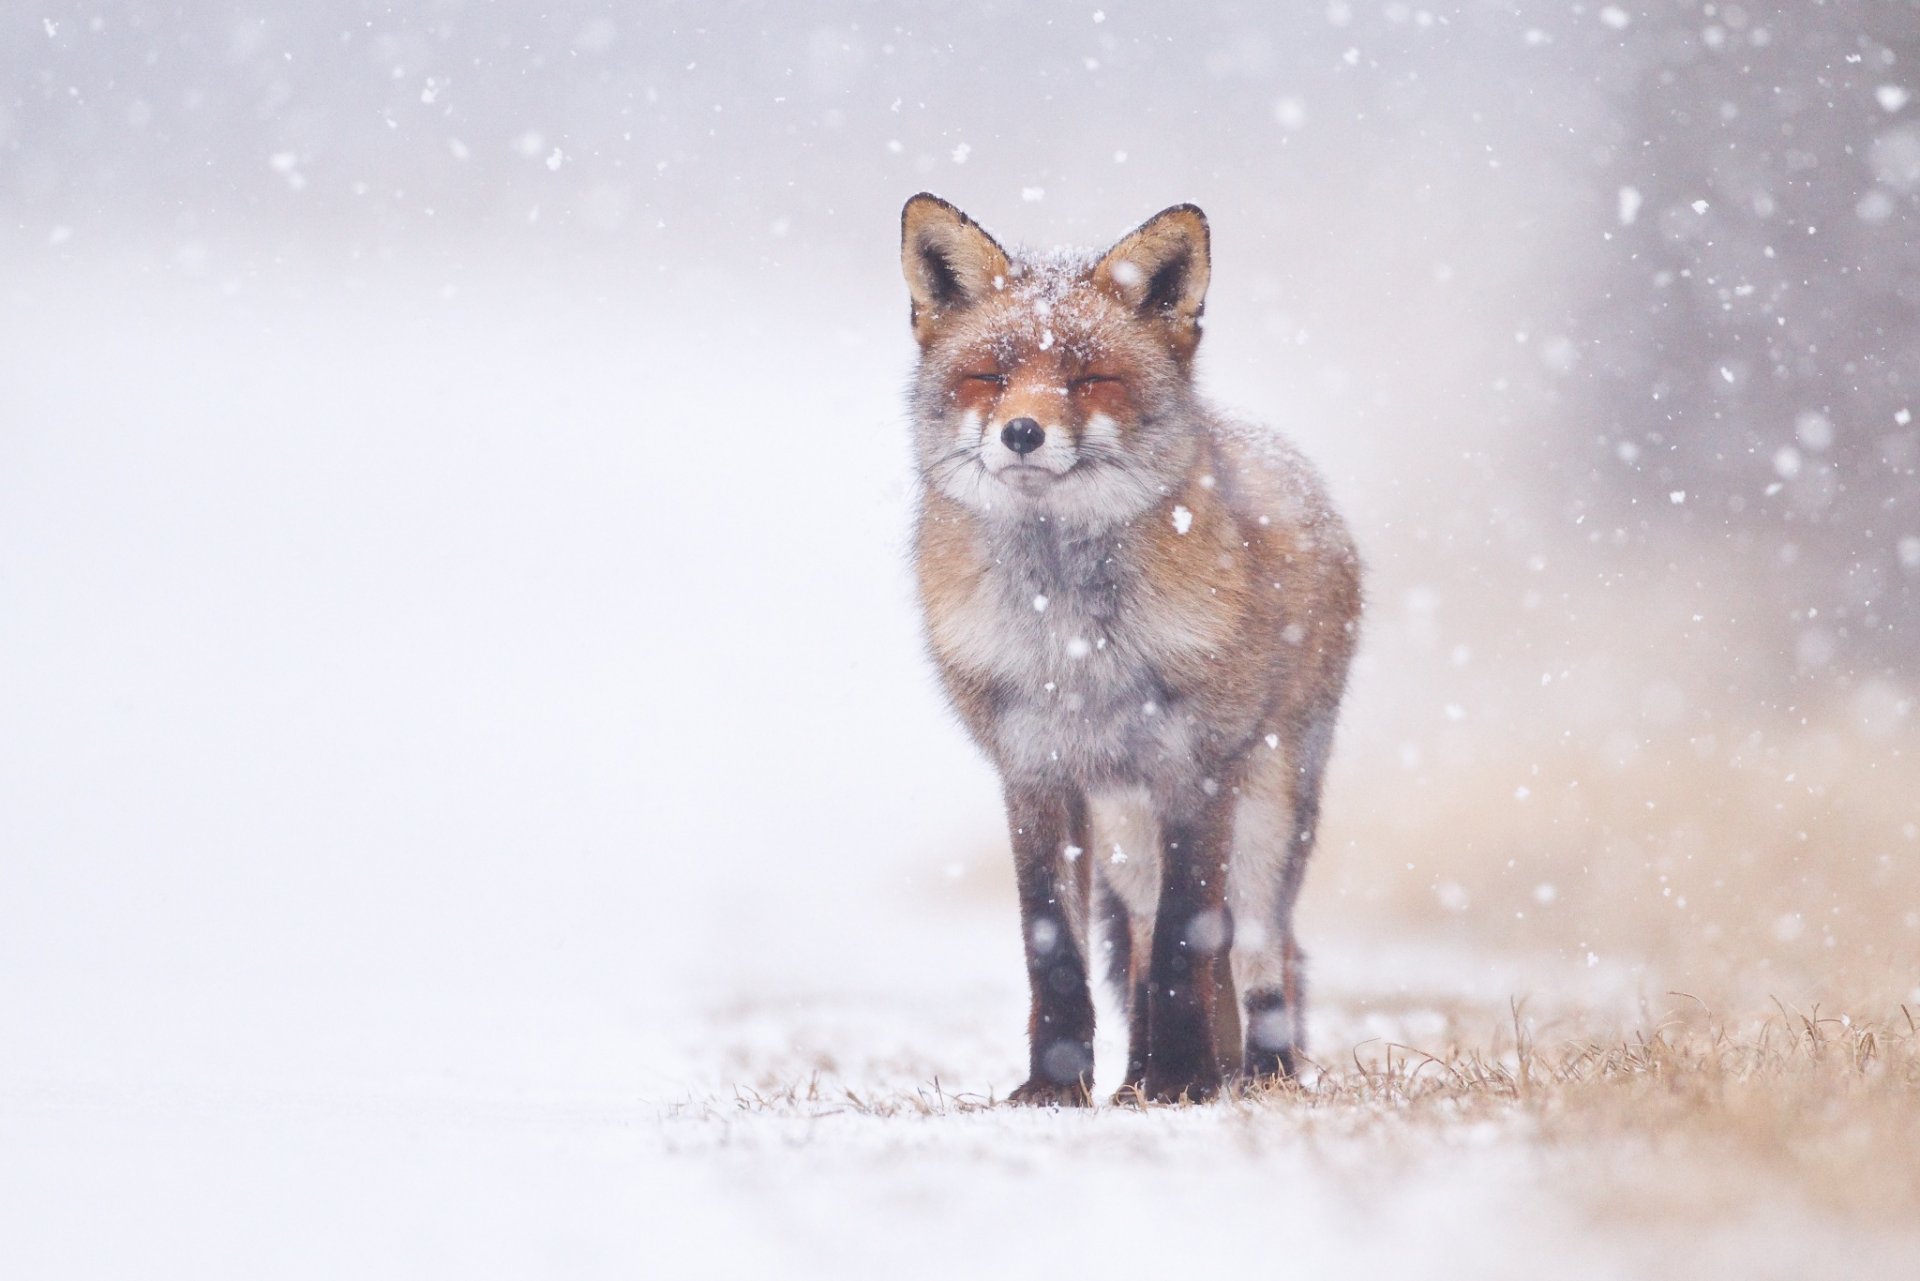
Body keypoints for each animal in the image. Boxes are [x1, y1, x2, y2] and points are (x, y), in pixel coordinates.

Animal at [898, 193, 1367, 1106]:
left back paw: (1253, 1074)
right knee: (1146, 940)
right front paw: (1056, 1087)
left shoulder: (1196, 769)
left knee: (1261, 950)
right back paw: (1138, 1076)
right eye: (991, 376)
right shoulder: (1035, 773)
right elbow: (1057, 947)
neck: (1071, 642)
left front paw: (1188, 1081)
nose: (1021, 431)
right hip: (1124, 827)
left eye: (1089, 380)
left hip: (1268, 807)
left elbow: (1193, 941)